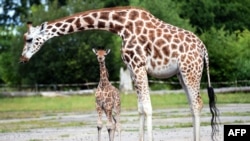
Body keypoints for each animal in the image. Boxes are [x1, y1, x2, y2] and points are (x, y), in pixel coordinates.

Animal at [20, 6, 219, 140]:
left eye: (29, 39)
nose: (22, 59)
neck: (120, 25)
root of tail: (204, 50)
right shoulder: (131, 68)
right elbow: (140, 108)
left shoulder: (139, 65)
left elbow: (147, 107)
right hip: (181, 74)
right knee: (192, 105)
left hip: (190, 71)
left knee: (197, 103)